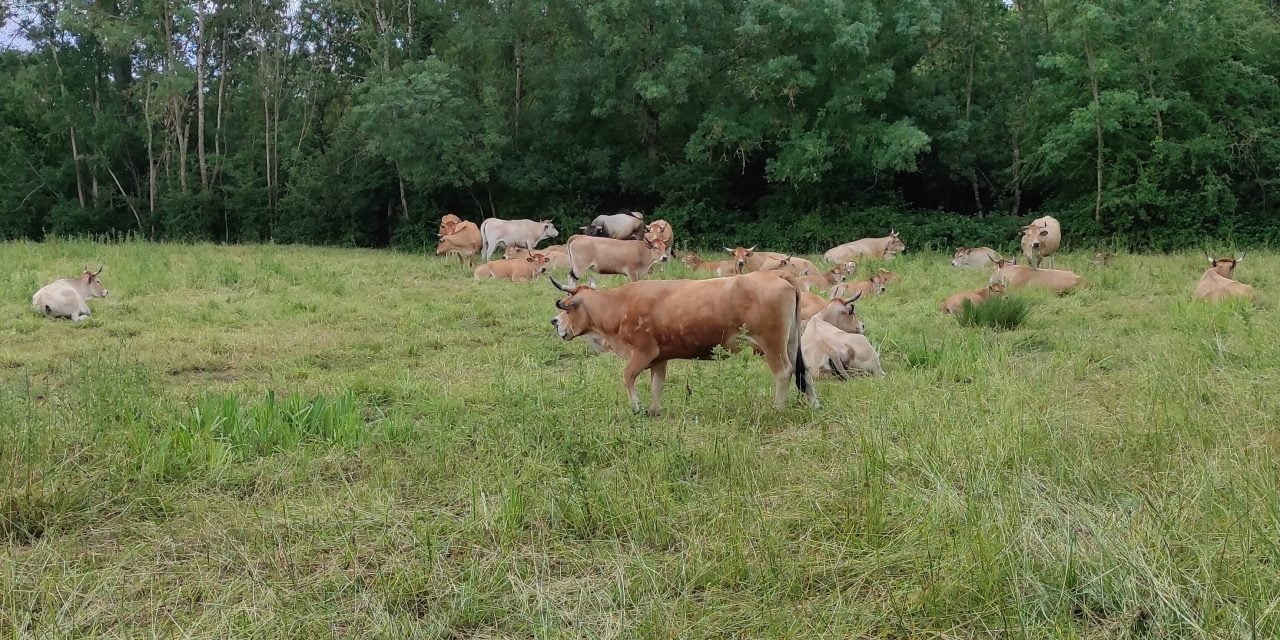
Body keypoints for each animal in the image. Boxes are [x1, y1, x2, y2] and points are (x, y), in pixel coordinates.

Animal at [545, 271, 814, 414]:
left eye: (567, 307)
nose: (554, 321)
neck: (620, 305)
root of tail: (776, 273)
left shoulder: (643, 351)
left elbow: (627, 376)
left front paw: (637, 407)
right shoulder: (659, 357)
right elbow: (656, 384)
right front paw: (655, 410)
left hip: (772, 343)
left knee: (784, 372)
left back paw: (777, 408)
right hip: (791, 341)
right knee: (803, 370)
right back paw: (814, 404)